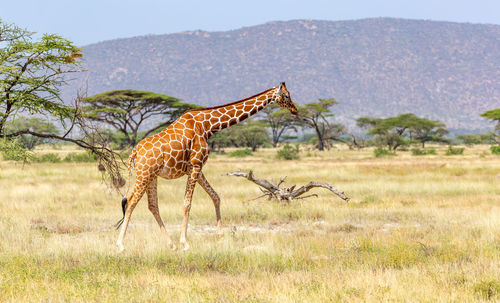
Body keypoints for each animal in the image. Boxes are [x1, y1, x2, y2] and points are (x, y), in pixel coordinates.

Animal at [115, 81, 296, 252]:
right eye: (287, 95)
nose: (295, 110)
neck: (207, 126)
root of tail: (134, 152)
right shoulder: (196, 165)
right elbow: (187, 203)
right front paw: (185, 243)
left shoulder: (196, 168)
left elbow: (215, 196)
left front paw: (220, 235)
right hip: (144, 174)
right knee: (131, 202)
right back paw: (121, 245)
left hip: (151, 176)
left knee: (151, 205)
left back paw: (170, 244)